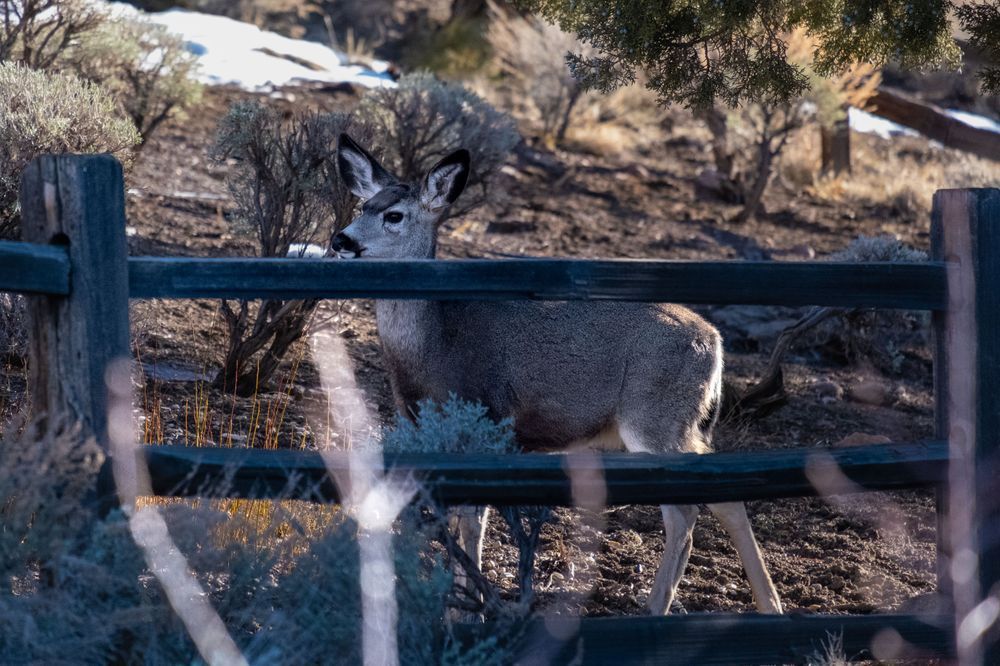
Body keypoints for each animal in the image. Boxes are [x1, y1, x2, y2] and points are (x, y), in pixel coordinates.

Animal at [331, 133, 783, 615]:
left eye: (394, 215)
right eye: (364, 206)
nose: (341, 238)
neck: (435, 342)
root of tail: (715, 340)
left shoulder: (488, 419)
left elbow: (473, 519)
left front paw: (470, 602)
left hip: (655, 417)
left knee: (686, 510)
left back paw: (658, 606)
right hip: (679, 424)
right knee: (722, 494)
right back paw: (768, 604)